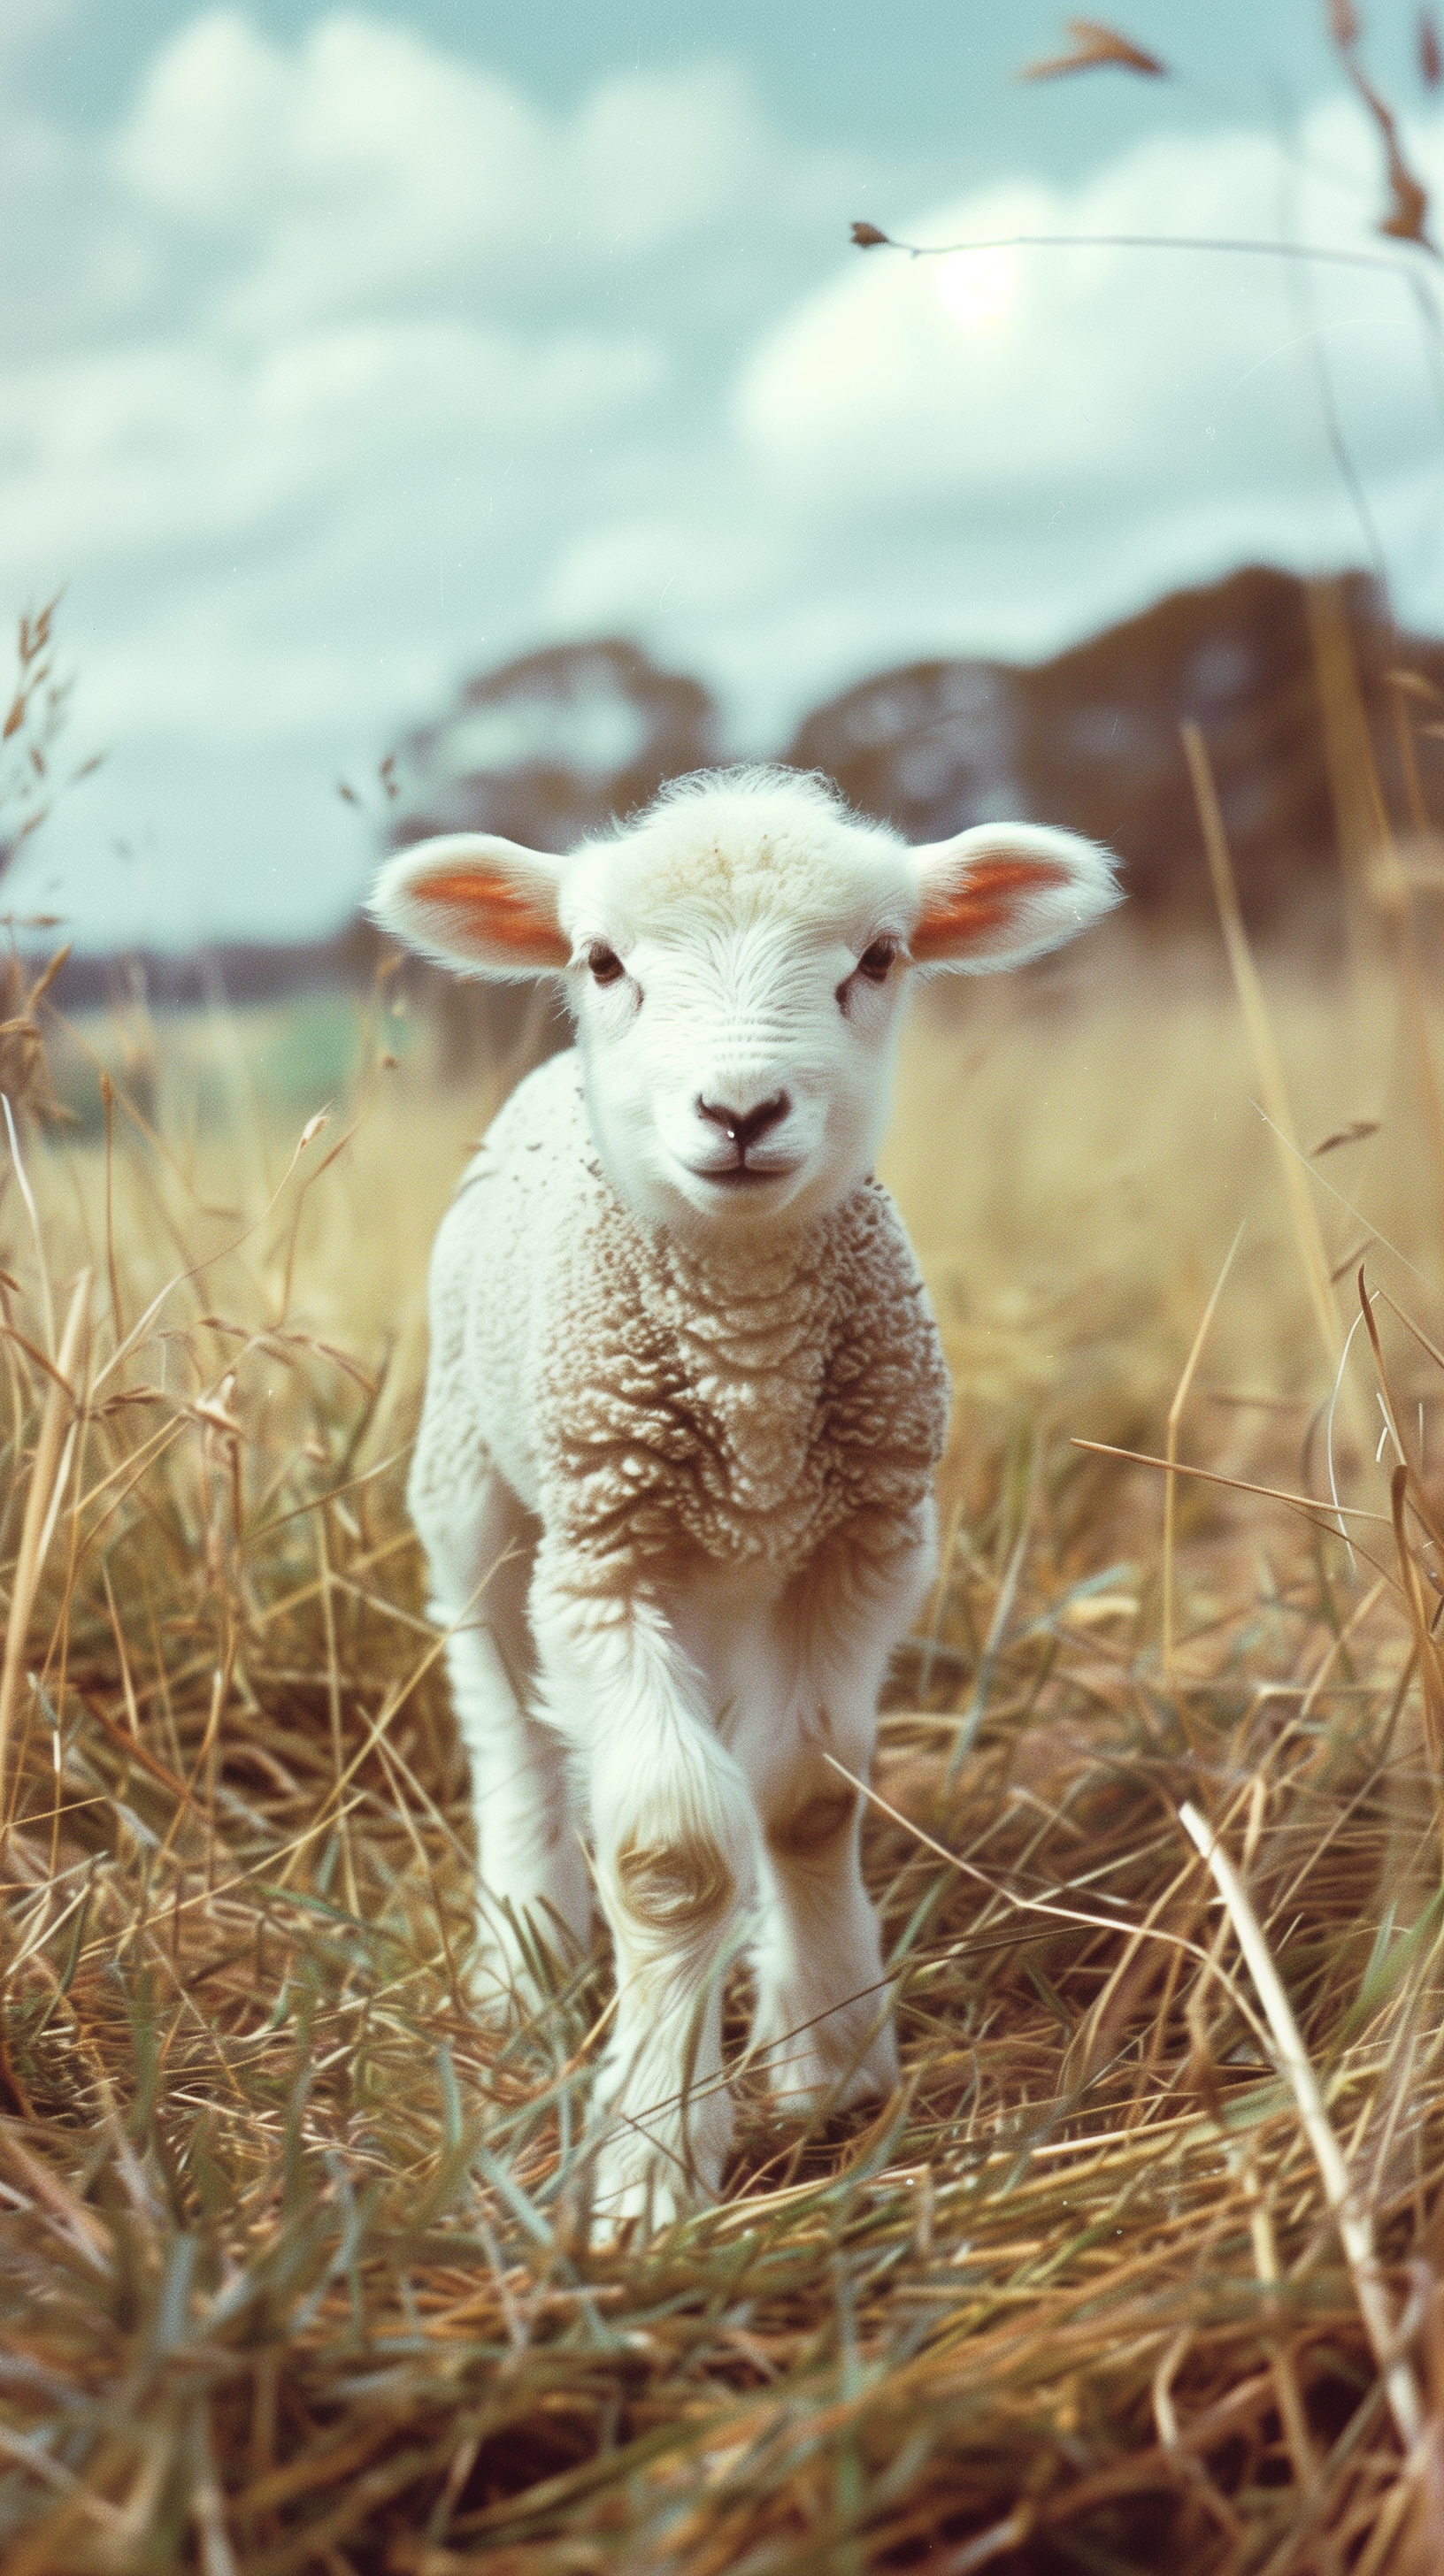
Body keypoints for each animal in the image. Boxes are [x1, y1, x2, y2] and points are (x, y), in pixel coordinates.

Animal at [370, 768, 1120, 2227]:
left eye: (879, 959)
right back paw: (526, 1964)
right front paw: (653, 2165)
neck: (750, 1362)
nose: (741, 1113)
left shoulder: (866, 1541)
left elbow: (806, 1799)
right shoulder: (605, 1560)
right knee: (507, 1721)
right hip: (474, 1489)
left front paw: (826, 2057)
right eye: (603, 963)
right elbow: (673, 1854)